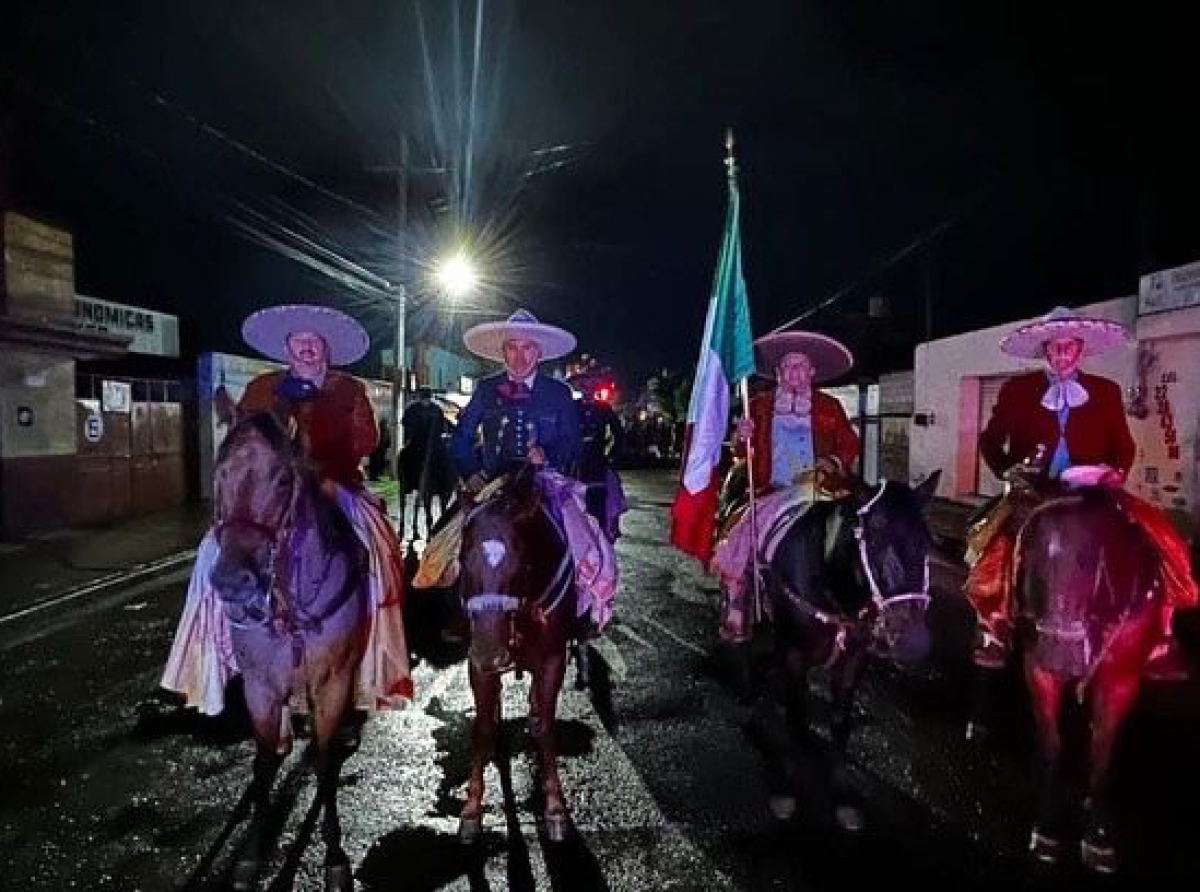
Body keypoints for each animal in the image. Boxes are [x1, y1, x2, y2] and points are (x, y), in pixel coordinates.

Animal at [210, 417, 369, 892]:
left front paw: (335, 857)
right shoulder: (261, 688)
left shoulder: (332, 683)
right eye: (218, 475)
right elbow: (263, 765)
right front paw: (251, 854)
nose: (233, 580)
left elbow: (324, 761)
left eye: (282, 480)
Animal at [453, 470, 576, 849]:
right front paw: (471, 809)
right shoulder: (477, 668)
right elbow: (481, 728)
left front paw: (554, 806)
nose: (490, 653)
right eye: (462, 561)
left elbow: (548, 726)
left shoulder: (553, 661)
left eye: (522, 564)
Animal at [763, 475, 940, 830]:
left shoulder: (853, 661)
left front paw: (843, 796)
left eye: (926, 542)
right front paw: (788, 786)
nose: (914, 642)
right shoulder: (794, 654)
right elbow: (795, 718)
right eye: (871, 539)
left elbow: (840, 723)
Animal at [1012, 485, 1161, 873]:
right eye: (1027, 552)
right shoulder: (1036, 669)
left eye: (1088, 560)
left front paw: (1098, 836)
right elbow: (1051, 745)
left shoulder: (1120, 681)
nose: (1059, 658)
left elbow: (1102, 755)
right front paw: (1046, 828)